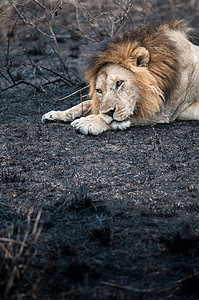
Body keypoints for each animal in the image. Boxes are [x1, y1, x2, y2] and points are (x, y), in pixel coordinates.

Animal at [42, 19, 199, 135]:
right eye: (99, 91)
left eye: (119, 83)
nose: (109, 112)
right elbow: (85, 103)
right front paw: (57, 114)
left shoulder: (163, 111)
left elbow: (117, 120)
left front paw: (88, 122)